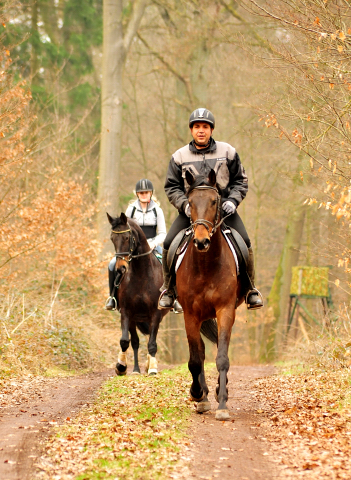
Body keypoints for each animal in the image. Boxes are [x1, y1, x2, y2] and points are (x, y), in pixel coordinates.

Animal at [106, 213, 168, 376]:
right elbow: (125, 341)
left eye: (127, 237)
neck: (141, 275)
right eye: (112, 238)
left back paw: (149, 365)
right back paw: (136, 369)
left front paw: (152, 368)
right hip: (136, 319)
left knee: (150, 339)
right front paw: (121, 366)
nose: (121, 268)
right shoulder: (127, 312)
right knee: (135, 342)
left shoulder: (156, 314)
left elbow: (152, 343)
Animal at [176, 169, 245, 420]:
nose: (201, 241)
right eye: (190, 202)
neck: (206, 264)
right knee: (201, 353)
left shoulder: (225, 310)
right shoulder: (190, 315)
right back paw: (203, 394)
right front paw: (198, 395)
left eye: (215, 201)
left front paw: (222, 403)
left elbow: (222, 357)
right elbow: (195, 360)